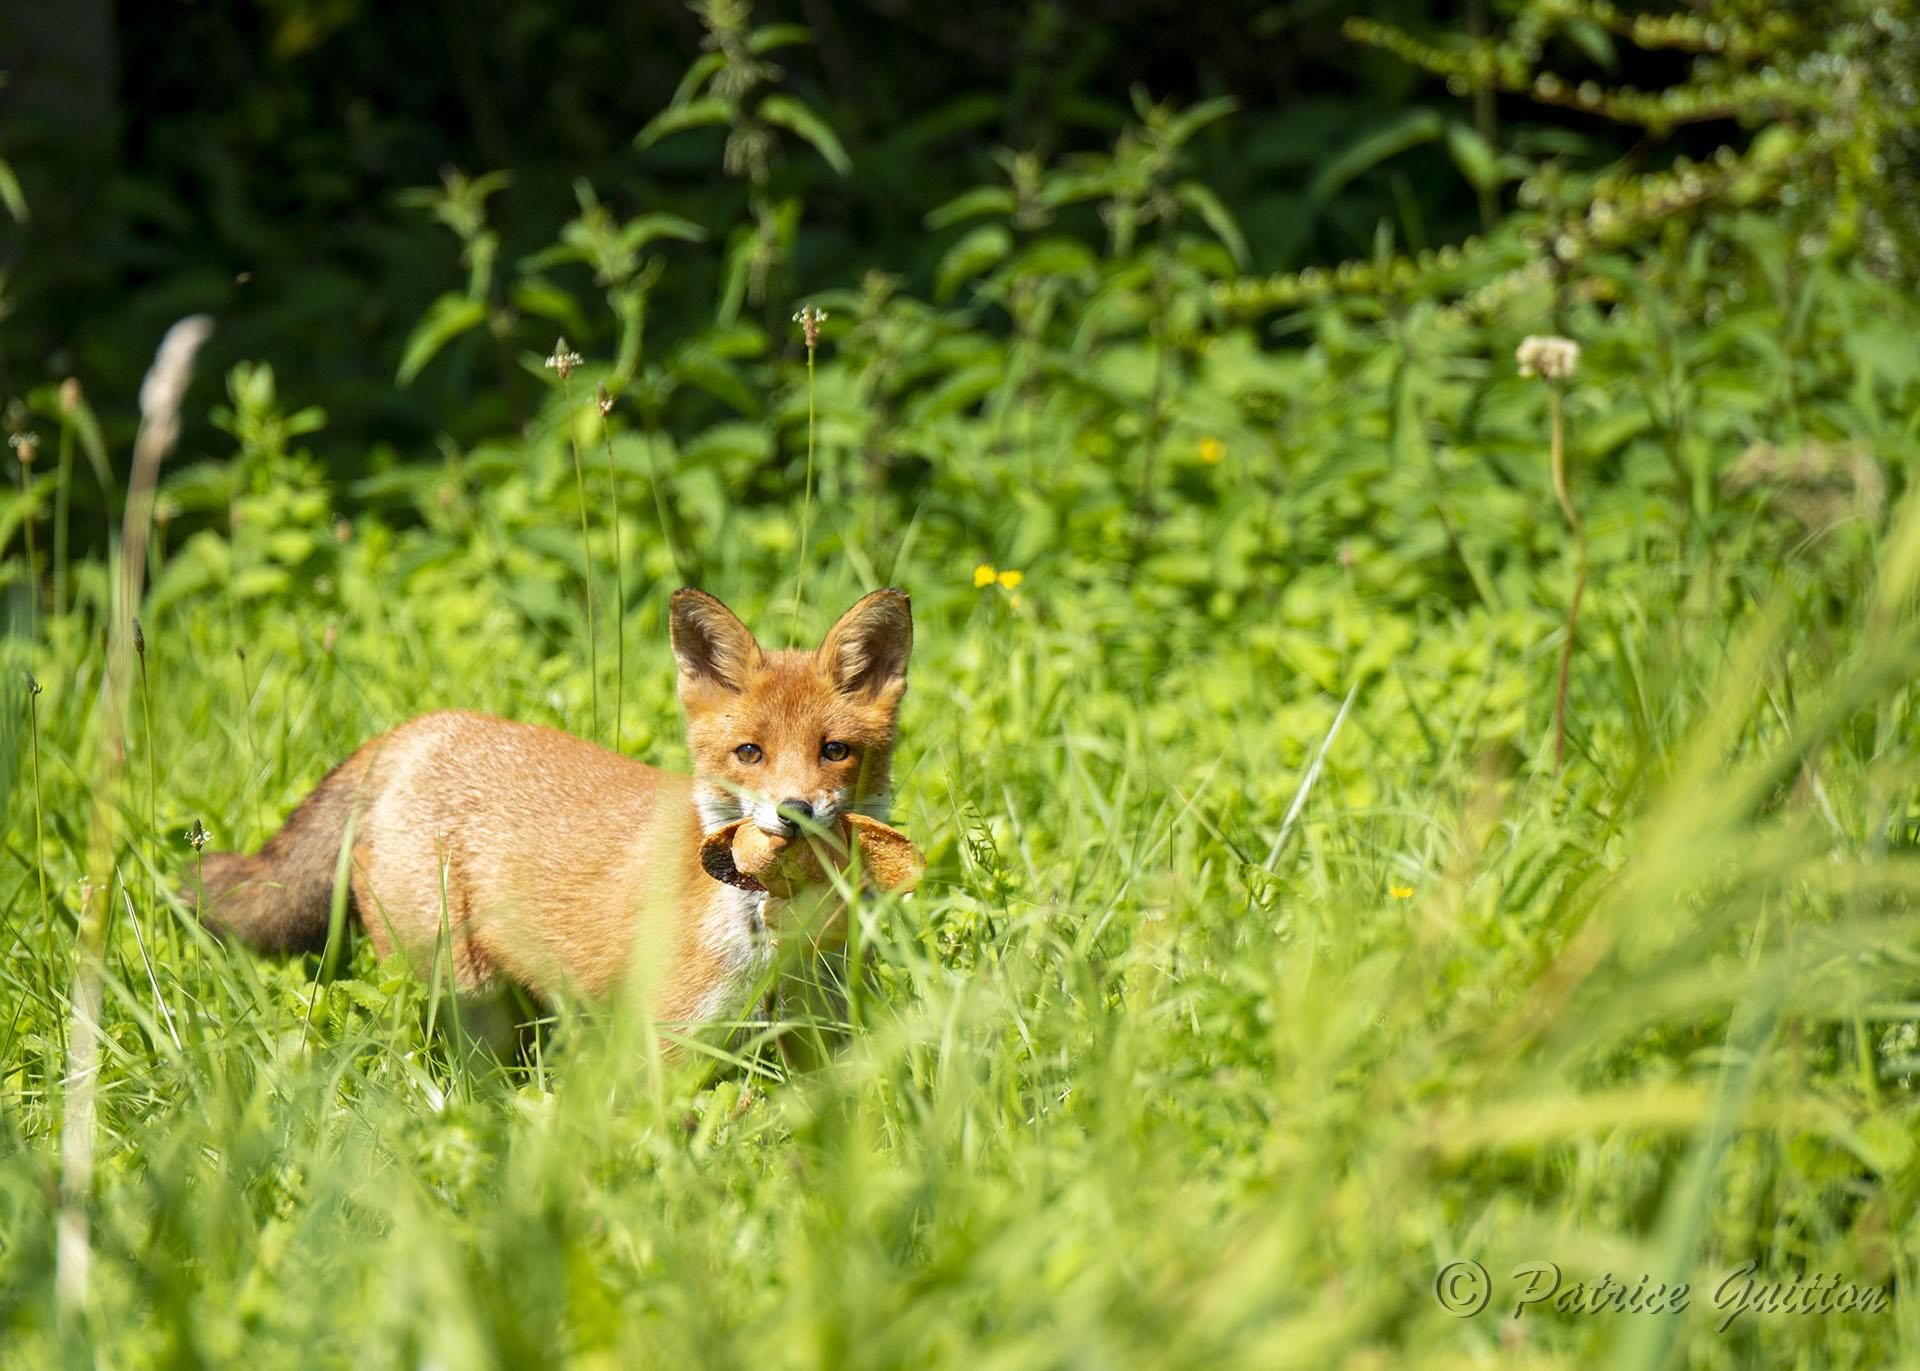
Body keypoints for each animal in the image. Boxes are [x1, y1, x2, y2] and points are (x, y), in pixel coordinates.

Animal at [192, 587, 906, 1029]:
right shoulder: (668, 1040)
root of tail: (426, 725)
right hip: (454, 970)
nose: (794, 812)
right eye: (750, 752)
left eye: (834, 751)